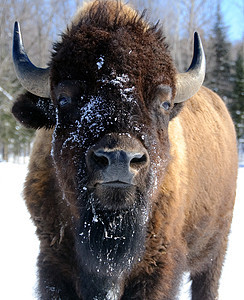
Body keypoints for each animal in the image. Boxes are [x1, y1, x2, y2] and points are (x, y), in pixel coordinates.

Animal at [10, 0, 236, 300]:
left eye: (164, 103)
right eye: (64, 98)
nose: (119, 157)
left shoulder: (157, 267)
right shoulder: (53, 261)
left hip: (216, 248)